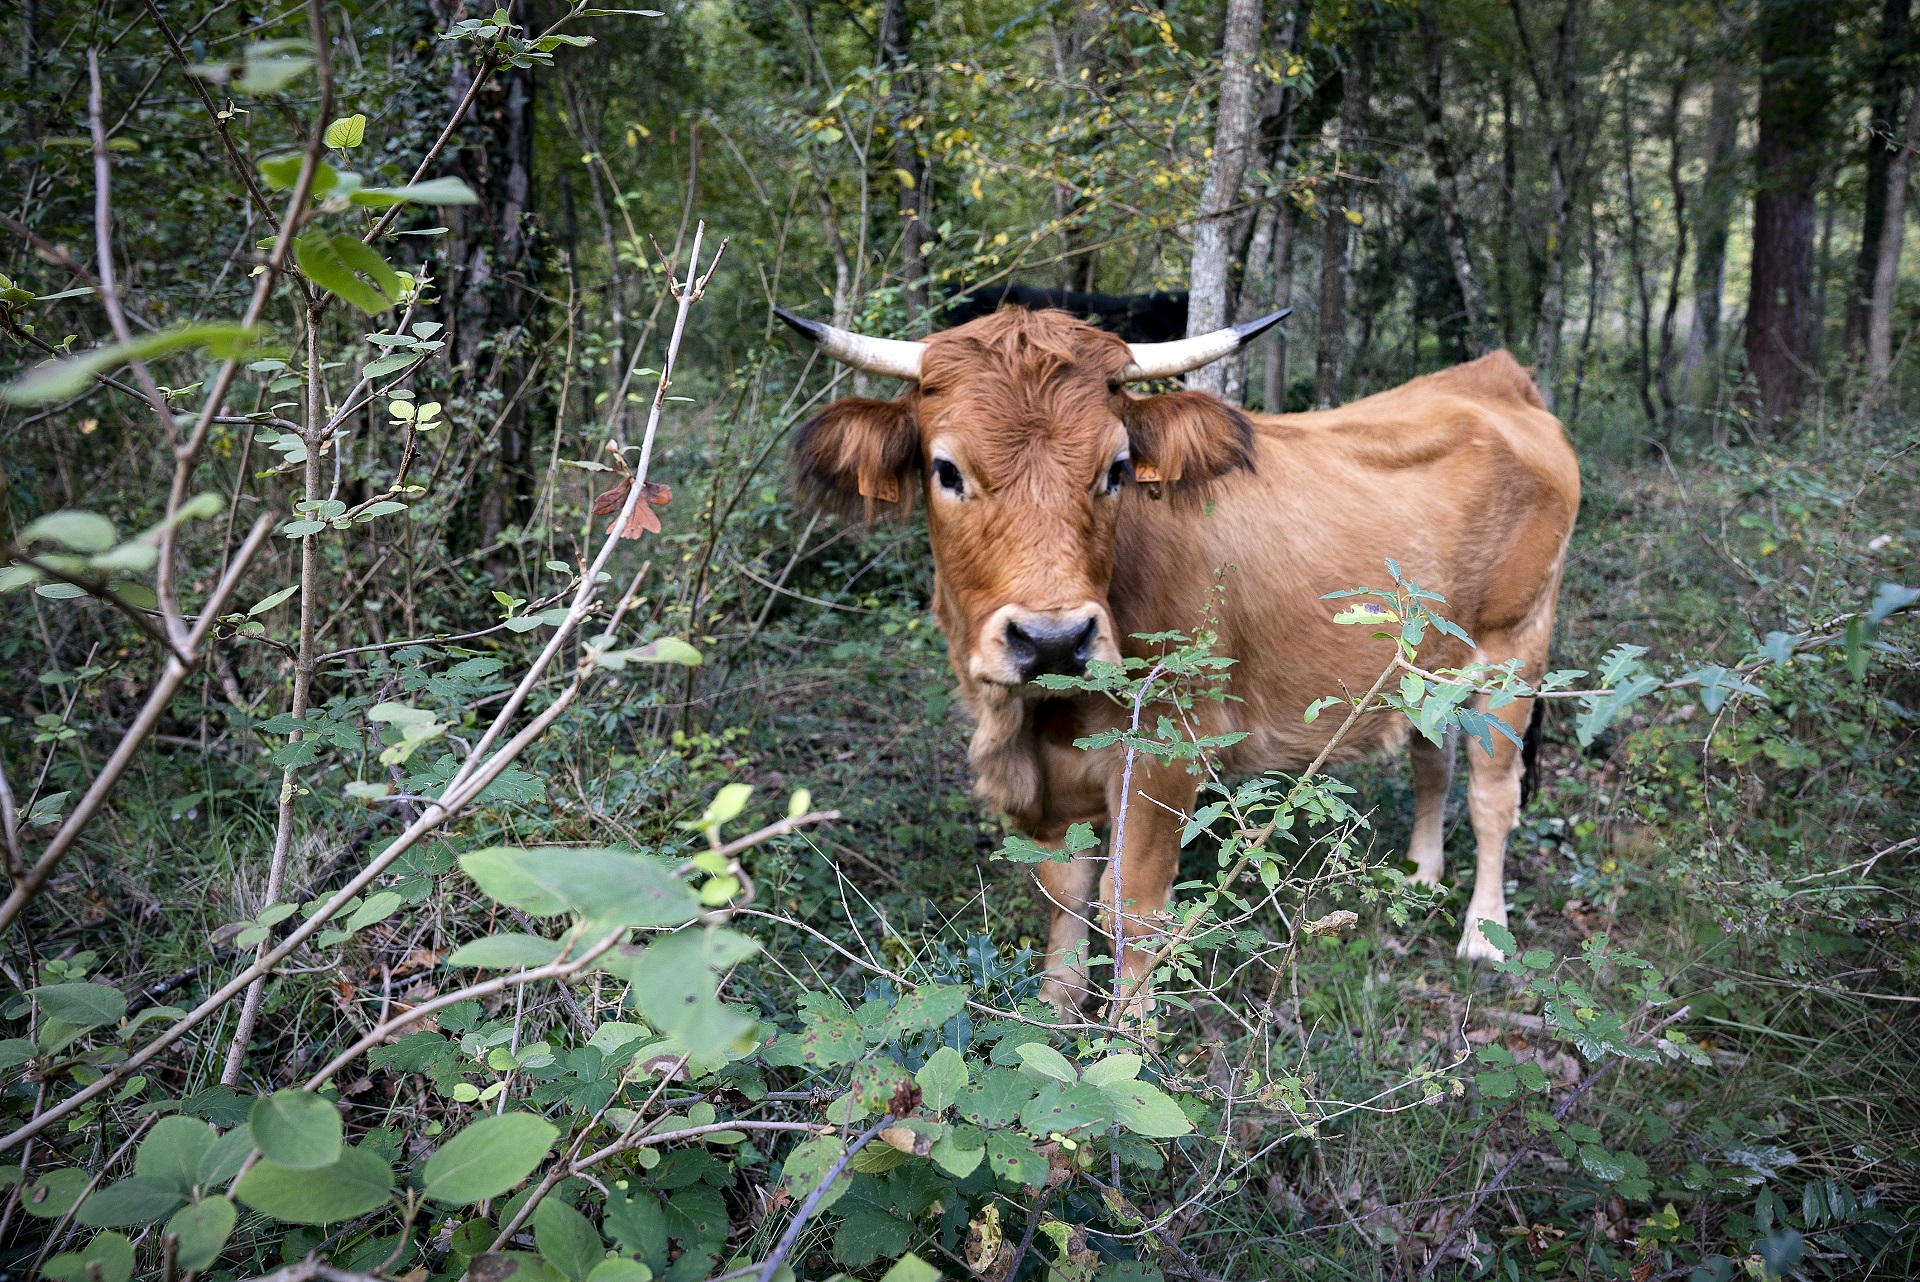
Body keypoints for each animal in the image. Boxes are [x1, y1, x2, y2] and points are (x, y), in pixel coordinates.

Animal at [779, 305, 1574, 1013]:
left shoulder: (1166, 751)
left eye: (1116, 468)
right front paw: (1054, 1021)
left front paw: (1124, 1053)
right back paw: (1419, 876)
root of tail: (1493, 378)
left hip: (1517, 651)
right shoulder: (1054, 783)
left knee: (1492, 797)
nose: (1053, 640)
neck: (1035, 725)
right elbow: (1065, 899)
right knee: (1432, 758)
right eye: (946, 470)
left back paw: (1484, 934)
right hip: (1430, 672)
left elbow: (1132, 908)